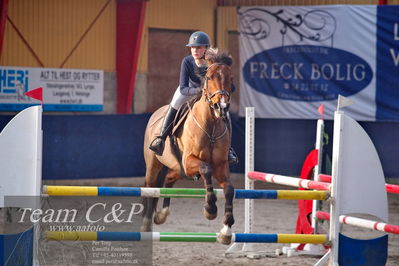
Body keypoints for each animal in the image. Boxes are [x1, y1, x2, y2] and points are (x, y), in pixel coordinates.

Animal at [144, 48, 236, 244]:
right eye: (208, 77)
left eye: (230, 77)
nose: (221, 106)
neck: (211, 126)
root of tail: (156, 112)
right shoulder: (189, 161)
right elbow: (206, 169)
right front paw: (210, 209)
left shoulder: (221, 165)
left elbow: (229, 189)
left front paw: (226, 230)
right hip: (155, 165)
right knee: (150, 188)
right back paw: (147, 224)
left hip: (178, 168)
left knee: (169, 179)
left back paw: (162, 214)